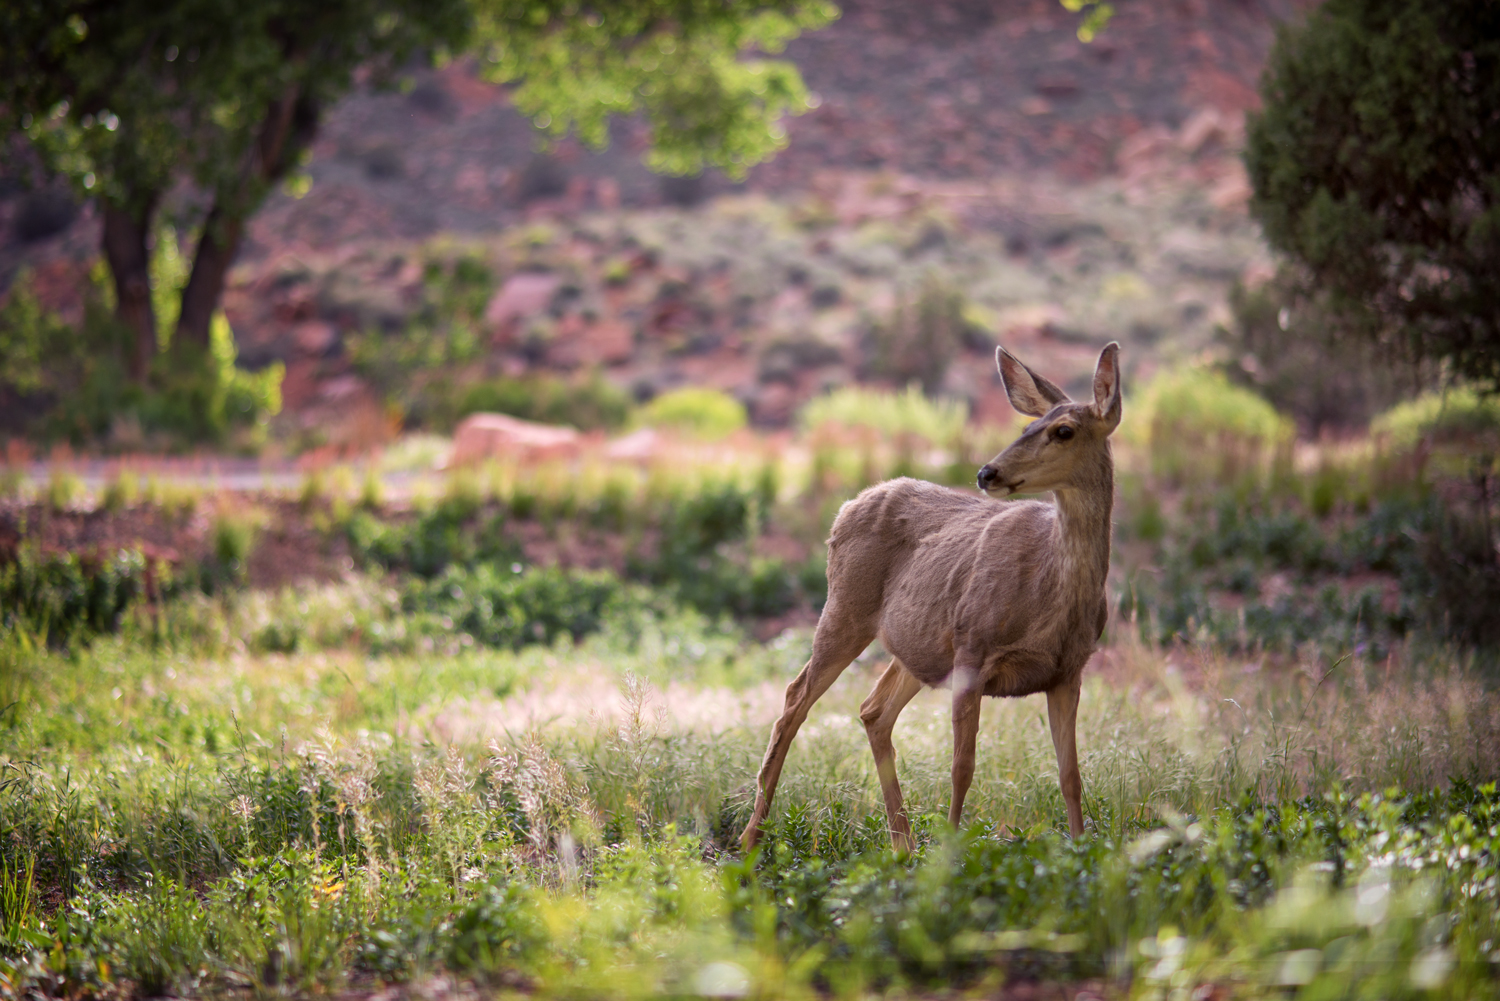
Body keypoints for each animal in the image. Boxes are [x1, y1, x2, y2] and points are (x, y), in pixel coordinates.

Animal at [740, 342, 1121, 853]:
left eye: (1063, 431)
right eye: (1025, 426)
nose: (987, 472)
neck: (1051, 596)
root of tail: (846, 506)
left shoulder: (1069, 670)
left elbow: (1071, 775)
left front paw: (1080, 852)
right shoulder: (972, 647)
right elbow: (962, 767)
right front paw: (951, 853)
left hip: (916, 646)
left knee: (873, 710)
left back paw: (902, 846)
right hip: (845, 609)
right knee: (795, 699)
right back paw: (749, 839)